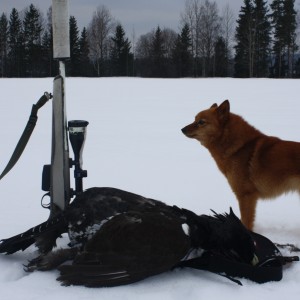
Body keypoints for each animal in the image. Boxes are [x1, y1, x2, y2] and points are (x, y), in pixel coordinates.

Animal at [180, 100, 300, 230]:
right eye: (195, 119)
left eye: (201, 122)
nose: (182, 129)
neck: (241, 147)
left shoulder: (246, 195)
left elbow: (245, 222)